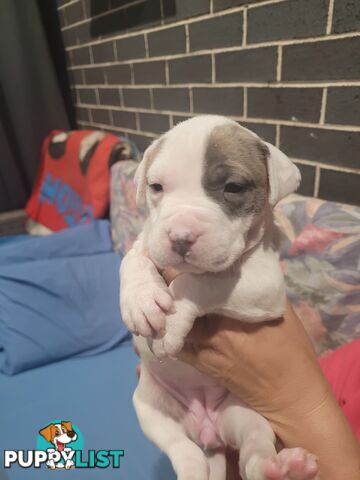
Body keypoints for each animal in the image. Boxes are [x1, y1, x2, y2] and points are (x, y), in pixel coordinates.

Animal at [119, 117, 320, 480]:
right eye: (156, 187)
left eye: (234, 188)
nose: (180, 236)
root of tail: (206, 431)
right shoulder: (147, 241)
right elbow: (134, 261)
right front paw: (141, 301)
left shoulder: (264, 284)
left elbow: (202, 282)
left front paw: (172, 321)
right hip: (151, 409)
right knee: (184, 452)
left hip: (244, 413)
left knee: (254, 450)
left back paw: (284, 468)